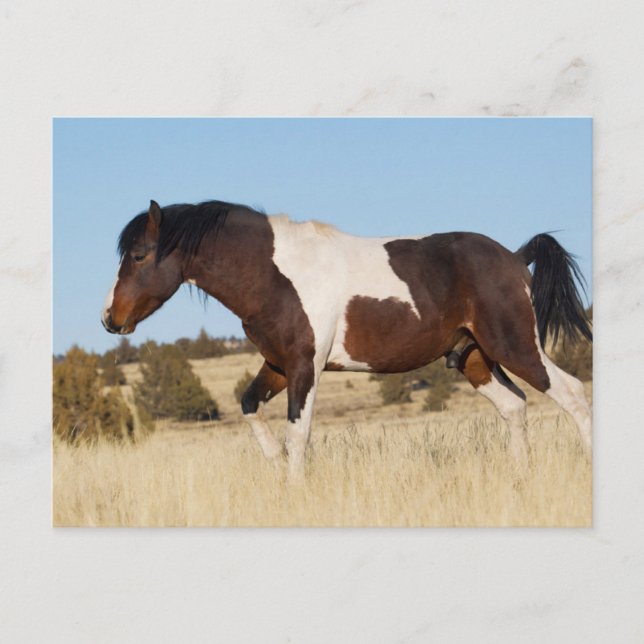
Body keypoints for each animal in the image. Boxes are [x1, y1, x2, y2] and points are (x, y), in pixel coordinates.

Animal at [102, 199, 592, 479]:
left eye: (139, 255)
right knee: (515, 407)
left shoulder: (306, 368)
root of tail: (515, 257)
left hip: (516, 346)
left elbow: (298, 434)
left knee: (572, 394)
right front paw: (275, 465)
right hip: (474, 358)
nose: (109, 318)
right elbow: (249, 406)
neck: (275, 275)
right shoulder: (278, 365)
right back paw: (520, 478)